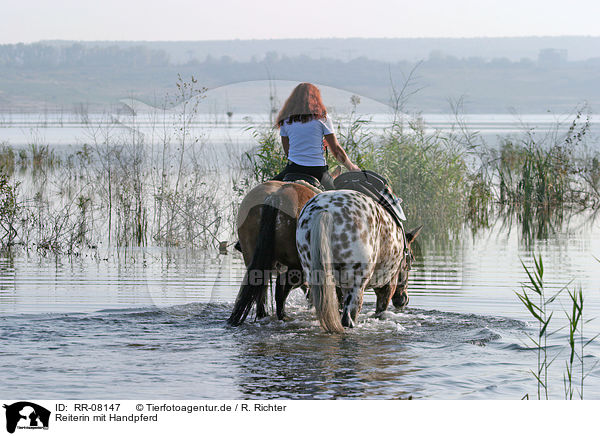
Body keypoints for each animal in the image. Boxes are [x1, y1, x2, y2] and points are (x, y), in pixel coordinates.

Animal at [296, 189, 422, 332]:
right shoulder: (387, 286)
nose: (403, 300)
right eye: (411, 259)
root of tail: (326, 211)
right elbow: (380, 312)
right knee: (348, 318)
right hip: (356, 286)